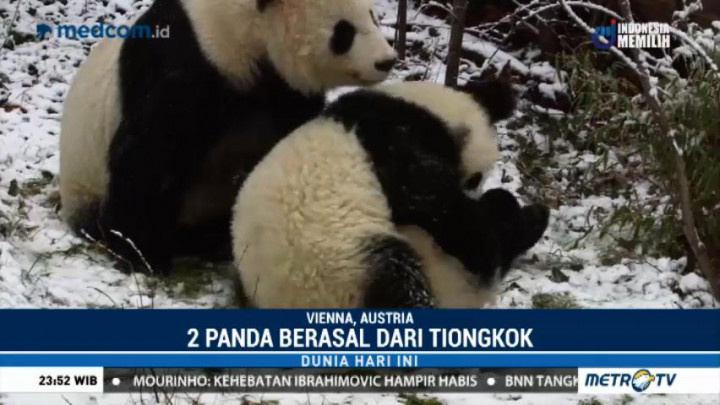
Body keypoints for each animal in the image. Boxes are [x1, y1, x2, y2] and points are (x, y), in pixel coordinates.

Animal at [59, 0, 396, 273]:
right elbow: (147, 159)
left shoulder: (282, 89)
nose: (387, 60)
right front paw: (140, 254)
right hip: (86, 181)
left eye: (372, 15)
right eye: (344, 31)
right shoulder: (183, 64)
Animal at [231, 80, 550, 308]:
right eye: (475, 179)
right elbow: (429, 199)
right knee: (405, 282)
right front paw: (486, 241)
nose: (473, 191)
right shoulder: (390, 137)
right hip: (348, 261)